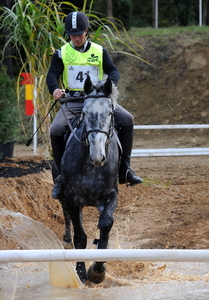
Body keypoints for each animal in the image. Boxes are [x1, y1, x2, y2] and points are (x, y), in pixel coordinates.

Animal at [57, 75, 119, 284]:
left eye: (110, 113)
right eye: (84, 113)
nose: (97, 157)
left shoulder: (111, 195)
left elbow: (105, 226)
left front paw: (97, 271)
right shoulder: (72, 198)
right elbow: (80, 237)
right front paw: (82, 273)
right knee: (65, 213)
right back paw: (66, 237)